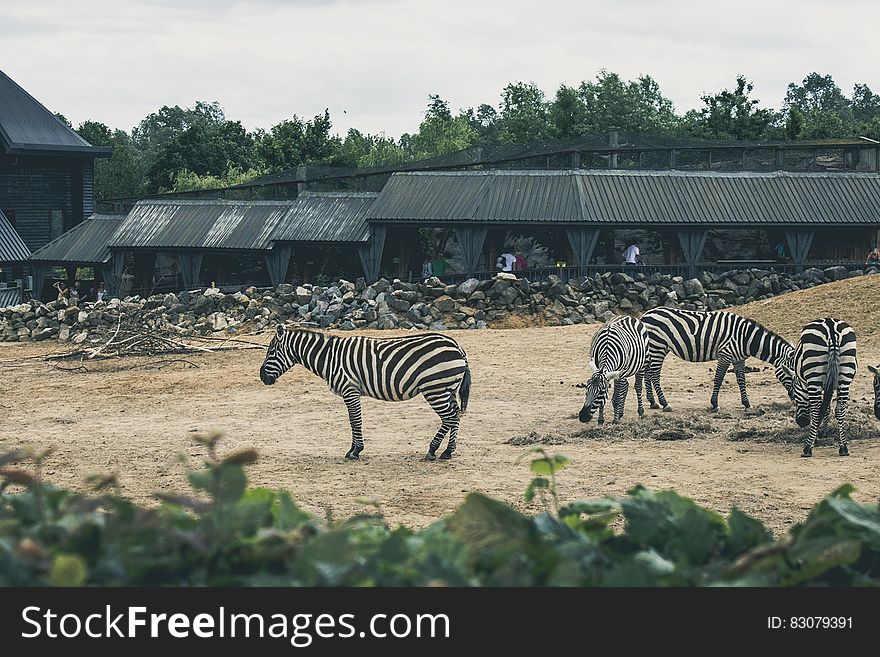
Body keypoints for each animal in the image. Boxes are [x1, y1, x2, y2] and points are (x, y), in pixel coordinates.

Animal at [258, 326, 470, 462]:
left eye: (271, 351)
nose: (262, 377)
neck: (330, 357)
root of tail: (457, 346)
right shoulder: (352, 391)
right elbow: (354, 421)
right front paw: (354, 449)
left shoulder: (350, 390)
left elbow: (355, 420)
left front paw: (355, 451)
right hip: (447, 389)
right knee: (456, 414)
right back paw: (448, 451)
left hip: (435, 388)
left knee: (450, 417)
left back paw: (434, 450)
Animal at [636, 308, 796, 410]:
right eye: (791, 376)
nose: (794, 399)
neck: (746, 338)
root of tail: (646, 314)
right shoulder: (725, 355)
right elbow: (718, 379)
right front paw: (714, 404)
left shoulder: (739, 359)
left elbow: (741, 381)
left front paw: (746, 403)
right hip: (658, 346)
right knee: (654, 374)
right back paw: (665, 403)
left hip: (656, 348)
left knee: (649, 374)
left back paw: (653, 402)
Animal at [788, 318, 856, 456]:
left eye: (794, 394)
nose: (801, 422)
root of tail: (831, 328)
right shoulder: (829, 385)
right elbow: (827, 407)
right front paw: (824, 431)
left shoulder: (812, 384)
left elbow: (820, 408)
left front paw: (816, 437)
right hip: (845, 374)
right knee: (840, 409)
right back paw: (843, 447)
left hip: (814, 373)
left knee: (815, 410)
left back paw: (807, 448)